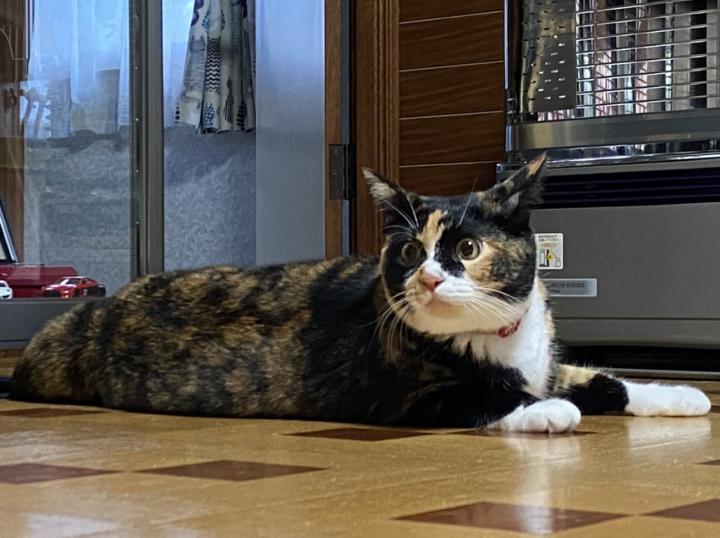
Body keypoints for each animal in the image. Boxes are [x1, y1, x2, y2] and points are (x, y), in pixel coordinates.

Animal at [10, 155, 711, 432]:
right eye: (407, 252)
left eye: (466, 250)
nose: (428, 277)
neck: (495, 340)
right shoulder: (404, 397)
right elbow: (485, 397)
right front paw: (548, 412)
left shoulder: (545, 363)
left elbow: (605, 379)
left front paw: (679, 394)